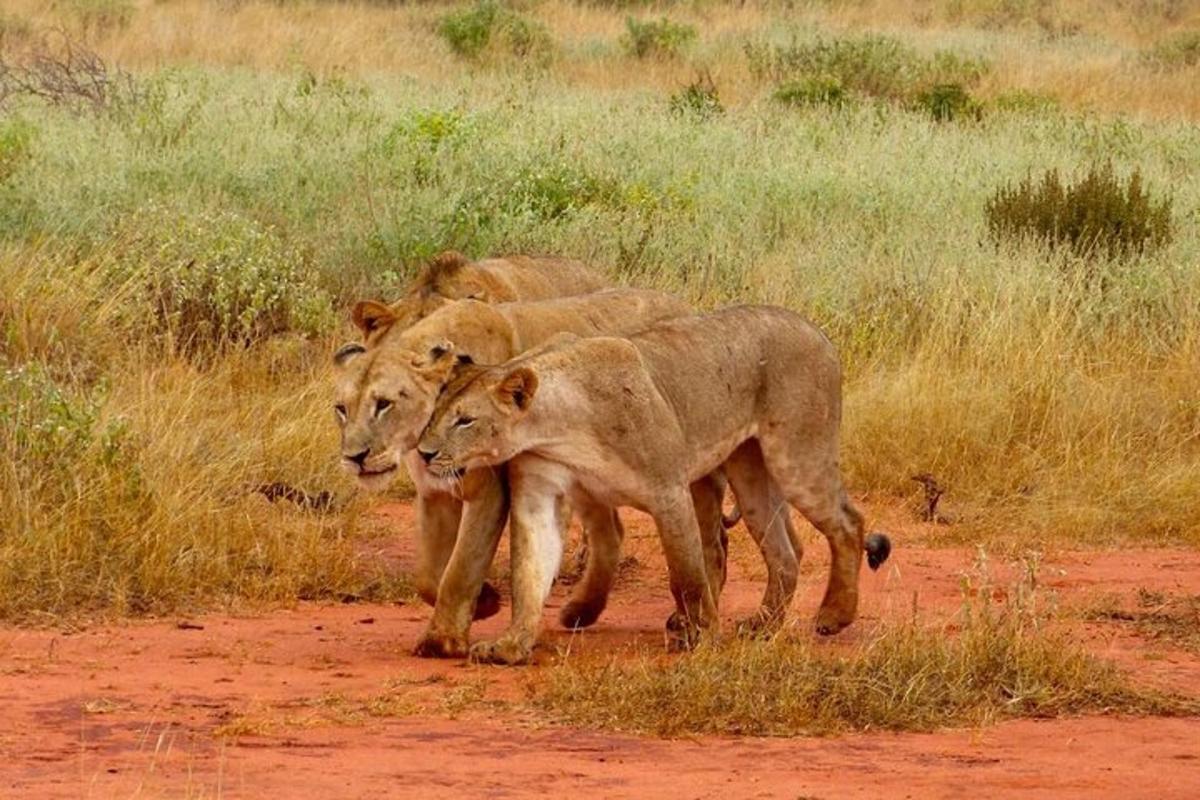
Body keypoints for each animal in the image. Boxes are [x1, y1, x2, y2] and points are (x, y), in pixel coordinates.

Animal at [331, 291, 729, 662]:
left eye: (384, 404)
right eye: (341, 409)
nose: (354, 457)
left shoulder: (490, 491)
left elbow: (460, 568)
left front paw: (445, 639)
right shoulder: (434, 494)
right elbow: (428, 576)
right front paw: (483, 602)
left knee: (704, 533)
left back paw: (689, 614)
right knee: (612, 532)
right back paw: (582, 611)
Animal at [420, 303, 892, 662]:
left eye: (465, 420)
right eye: (435, 412)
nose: (424, 452)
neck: (560, 425)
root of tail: (815, 329)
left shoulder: (668, 489)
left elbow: (686, 574)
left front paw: (700, 635)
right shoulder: (538, 494)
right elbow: (529, 573)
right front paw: (511, 644)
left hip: (796, 456)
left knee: (847, 523)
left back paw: (833, 617)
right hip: (750, 472)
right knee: (785, 550)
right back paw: (761, 626)